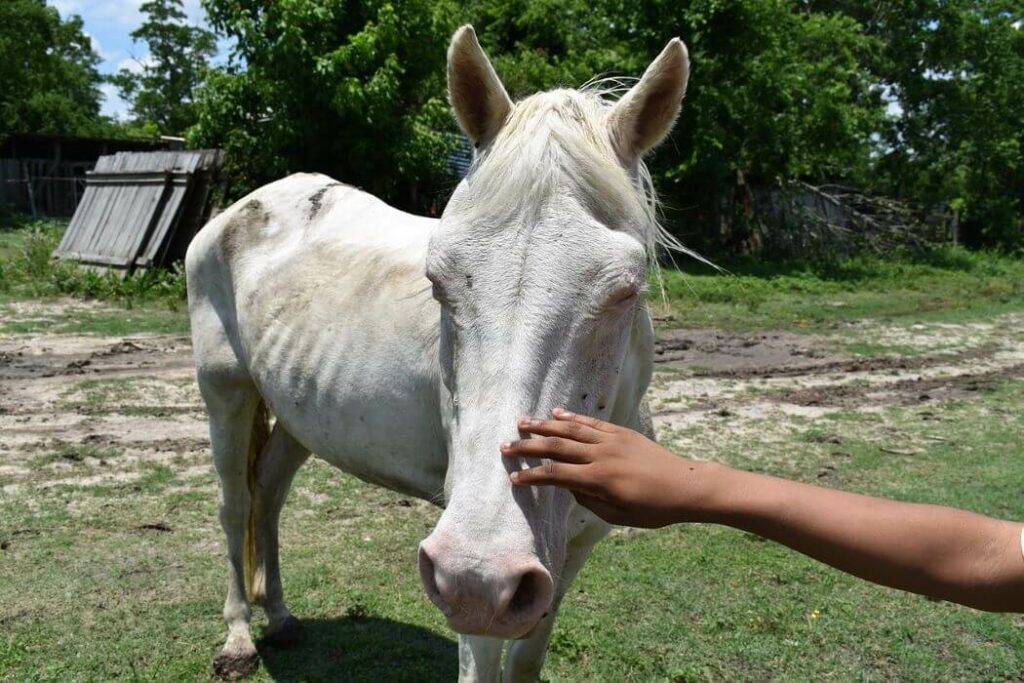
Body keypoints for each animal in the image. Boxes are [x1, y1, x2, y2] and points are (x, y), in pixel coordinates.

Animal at [188, 24, 692, 679]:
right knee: (236, 504)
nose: (479, 575)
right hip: (225, 391)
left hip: (300, 410)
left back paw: (280, 618)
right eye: (438, 280)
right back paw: (239, 639)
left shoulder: (562, 559)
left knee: (268, 495)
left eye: (626, 290)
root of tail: (235, 211)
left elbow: (527, 657)